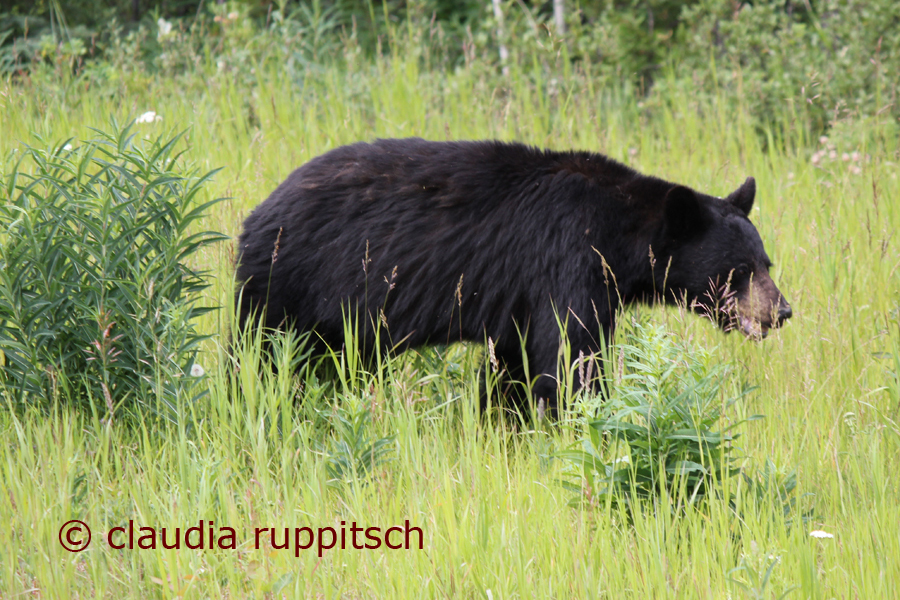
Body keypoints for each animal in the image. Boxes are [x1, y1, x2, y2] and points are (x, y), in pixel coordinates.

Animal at [236, 138, 792, 414]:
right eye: (739, 270)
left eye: (766, 263)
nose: (782, 310)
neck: (618, 233)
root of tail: (258, 211)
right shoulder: (565, 261)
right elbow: (570, 359)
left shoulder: (521, 303)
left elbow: (515, 368)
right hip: (289, 284)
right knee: (260, 356)